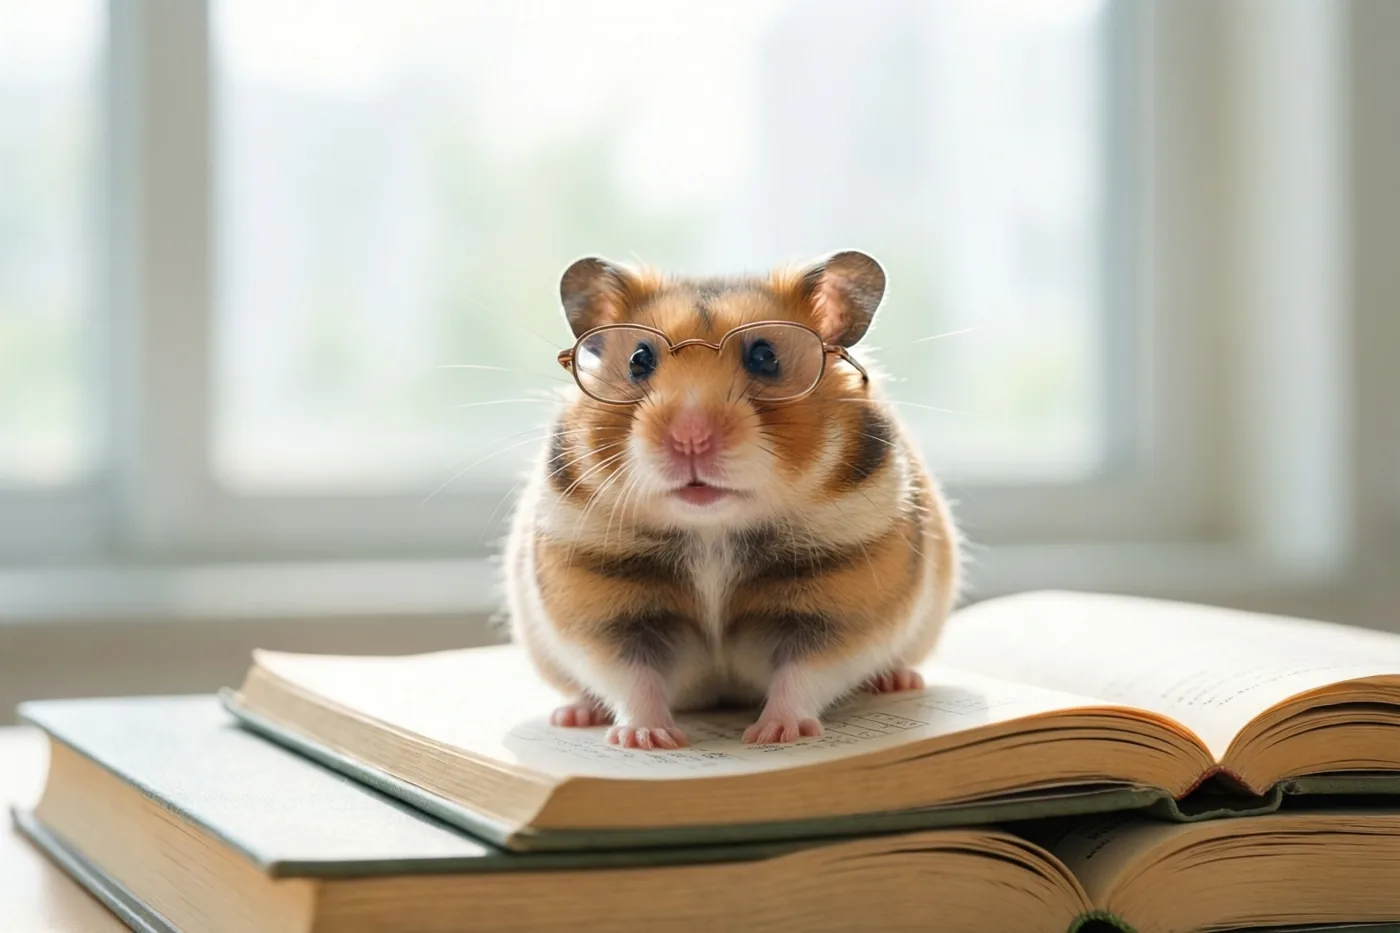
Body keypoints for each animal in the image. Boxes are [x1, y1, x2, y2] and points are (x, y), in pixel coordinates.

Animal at [504, 250, 961, 749]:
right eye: (639, 359)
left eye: (765, 357)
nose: (690, 438)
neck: (711, 530)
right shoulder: (602, 609)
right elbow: (631, 678)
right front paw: (647, 740)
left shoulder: (842, 608)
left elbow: (804, 673)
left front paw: (774, 735)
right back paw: (573, 715)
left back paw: (897, 682)